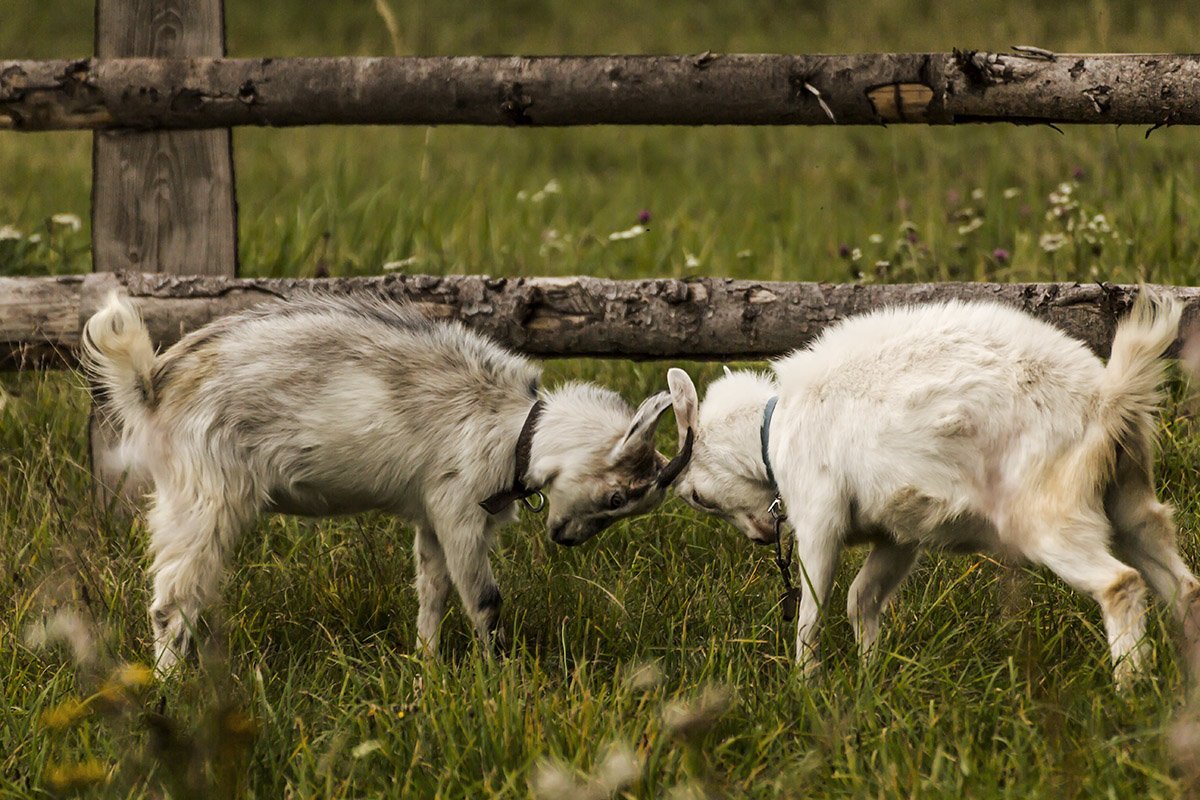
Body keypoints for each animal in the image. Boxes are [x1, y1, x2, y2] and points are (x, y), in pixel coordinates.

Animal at [79, 291, 691, 671]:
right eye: (616, 495)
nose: (567, 540)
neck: (511, 423)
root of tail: (153, 383)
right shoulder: (459, 510)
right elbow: (485, 600)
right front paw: (499, 678)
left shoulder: (432, 520)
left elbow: (433, 593)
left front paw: (428, 667)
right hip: (206, 495)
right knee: (172, 600)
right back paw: (170, 688)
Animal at [672, 291, 1195, 686]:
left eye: (695, 496)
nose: (759, 536)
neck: (774, 429)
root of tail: (1107, 399)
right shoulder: (897, 535)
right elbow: (862, 598)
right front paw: (872, 679)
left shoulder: (820, 517)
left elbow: (812, 613)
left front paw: (805, 687)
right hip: (1128, 496)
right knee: (1179, 581)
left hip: (1049, 510)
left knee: (1120, 583)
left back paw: (1129, 688)